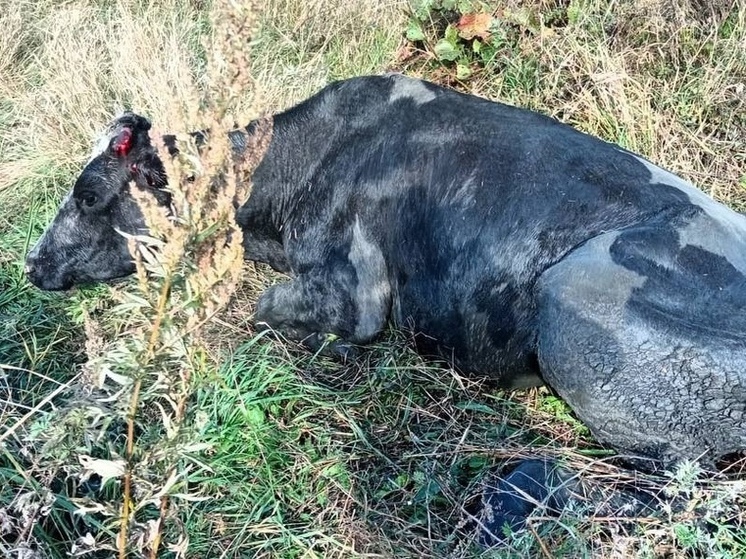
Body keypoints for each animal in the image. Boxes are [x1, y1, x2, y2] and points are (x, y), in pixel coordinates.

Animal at [23, 71, 744, 532]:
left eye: (89, 194)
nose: (31, 263)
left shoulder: (358, 292)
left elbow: (264, 313)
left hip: (577, 313)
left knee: (678, 490)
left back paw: (517, 500)